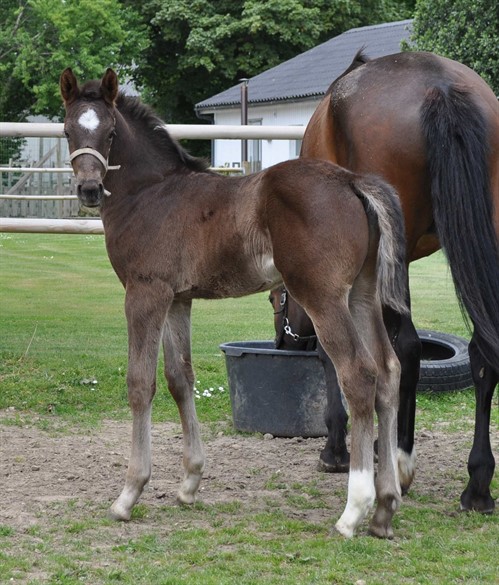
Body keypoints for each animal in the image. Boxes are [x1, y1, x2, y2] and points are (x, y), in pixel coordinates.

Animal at [59, 66, 410, 536]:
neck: (150, 192)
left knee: (358, 375)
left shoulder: (144, 292)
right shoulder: (177, 300)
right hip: (362, 296)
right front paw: (190, 483)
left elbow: (140, 384)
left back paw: (354, 510)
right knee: (389, 372)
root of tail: (352, 181)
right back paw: (386, 506)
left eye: (111, 132)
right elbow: (179, 378)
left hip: (323, 296)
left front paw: (128, 494)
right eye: (67, 129)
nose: (90, 189)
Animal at [278, 52, 499, 512]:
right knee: (482, 353)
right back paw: (478, 483)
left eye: (277, 301)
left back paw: (400, 460)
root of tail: (439, 86)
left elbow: (339, 356)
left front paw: (338, 448)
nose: (282, 342)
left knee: (408, 348)